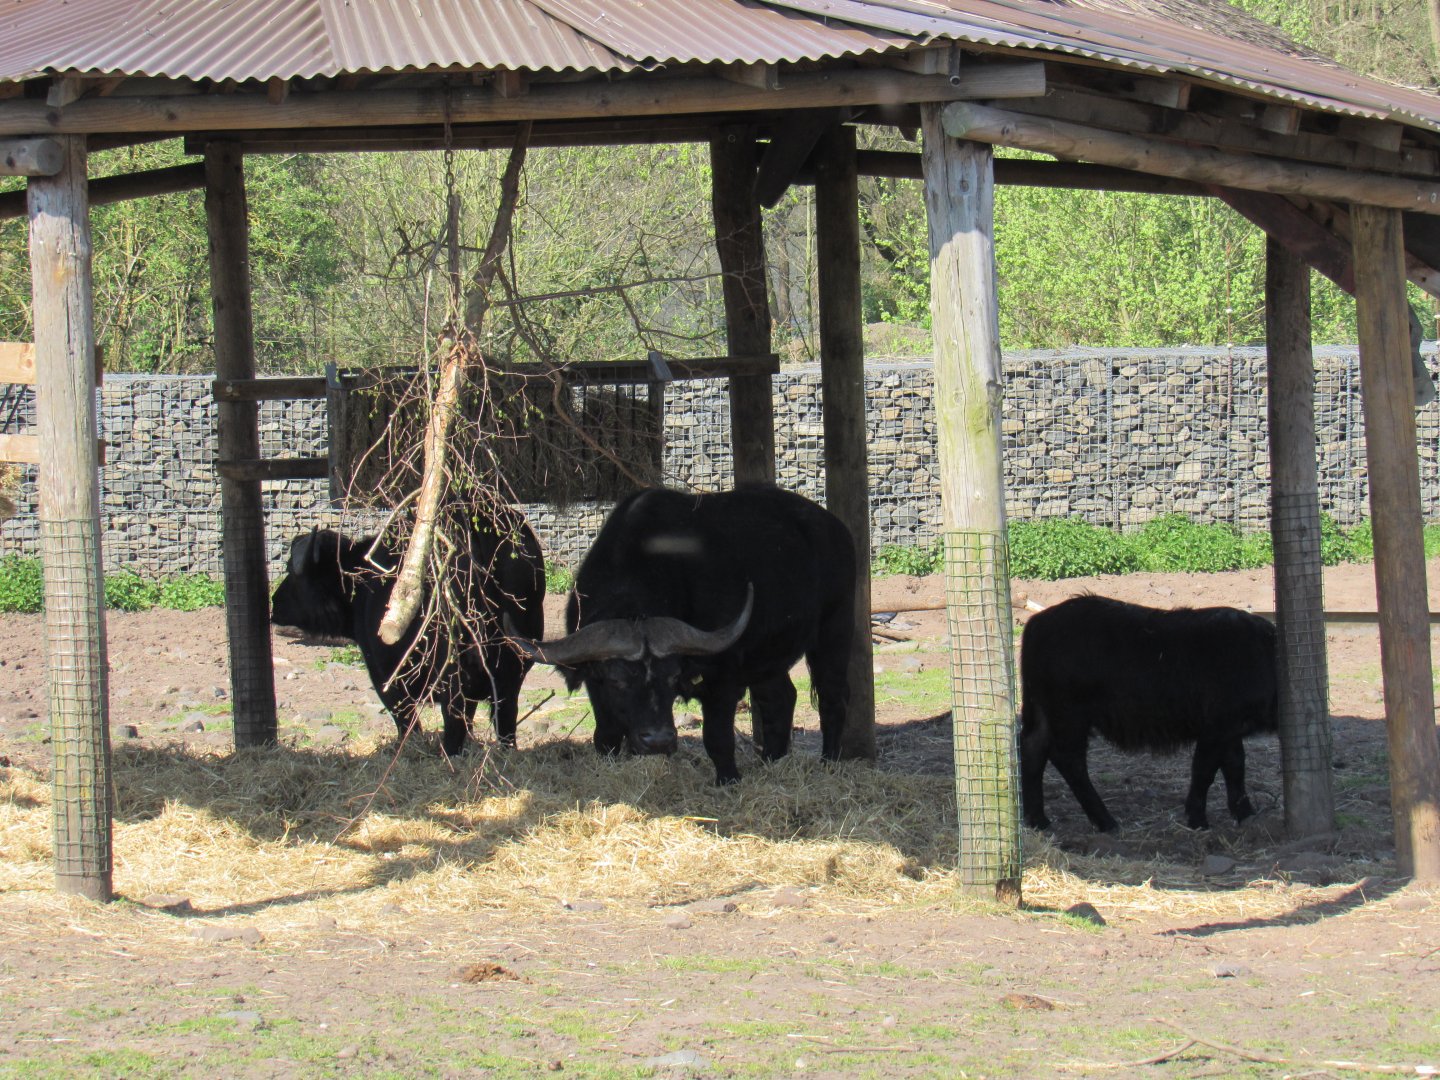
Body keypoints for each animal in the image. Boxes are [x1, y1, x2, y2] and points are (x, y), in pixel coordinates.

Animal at [270, 507, 545, 756]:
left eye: (292, 573)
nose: (274, 602)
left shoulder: (385, 678)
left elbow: (407, 721)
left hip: (452, 671)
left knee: (455, 717)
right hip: (514, 666)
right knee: (505, 717)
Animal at [509, 486, 856, 784]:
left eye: (673, 677)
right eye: (617, 680)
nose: (658, 741)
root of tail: (835, 528)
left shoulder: (723, 679)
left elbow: (717, 737)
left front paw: (728, 780)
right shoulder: (596, 687)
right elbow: (605, 737)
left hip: (835, 628)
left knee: (832, 699)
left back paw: (829, 762)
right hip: (768, 655)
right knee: (780, 699)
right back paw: (771, 761)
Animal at [1019, 594, 1277, 832]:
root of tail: (1038, 623)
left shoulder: (1232, 729)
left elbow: (1235, 767)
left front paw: (1245, 813)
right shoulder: (1216, 728)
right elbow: (1204, 771)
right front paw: (1197, 819)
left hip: (1043, 710)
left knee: (1033, 747)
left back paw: (1037, 820)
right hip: (1070, 716)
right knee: (1069, 759)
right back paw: (1105, 821)